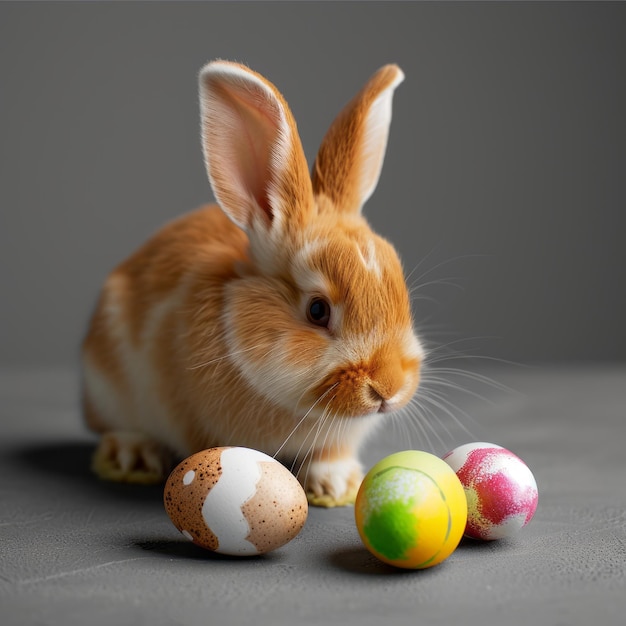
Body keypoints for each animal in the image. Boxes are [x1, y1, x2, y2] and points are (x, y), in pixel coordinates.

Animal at [80, 59, 422, 508]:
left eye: (400, 290)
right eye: (317, 310)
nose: (388, 389)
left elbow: (329, 456)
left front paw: (335, 487)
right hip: (108, 387)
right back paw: (132, 457)